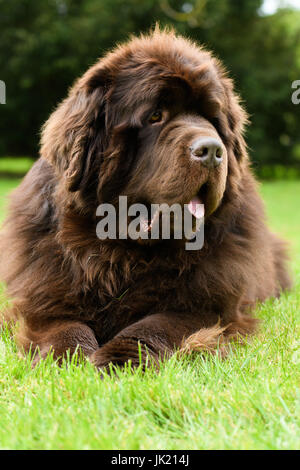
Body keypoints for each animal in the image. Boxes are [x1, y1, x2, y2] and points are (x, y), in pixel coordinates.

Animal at [0, 28, 290, 370]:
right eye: (155, 116)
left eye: (213, 119)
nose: (211, 150)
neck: (122, 254)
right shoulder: (43, 297)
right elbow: (64, 326)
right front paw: (68, 359)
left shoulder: (208, 307)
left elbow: (154, 324)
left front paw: (119, 359)